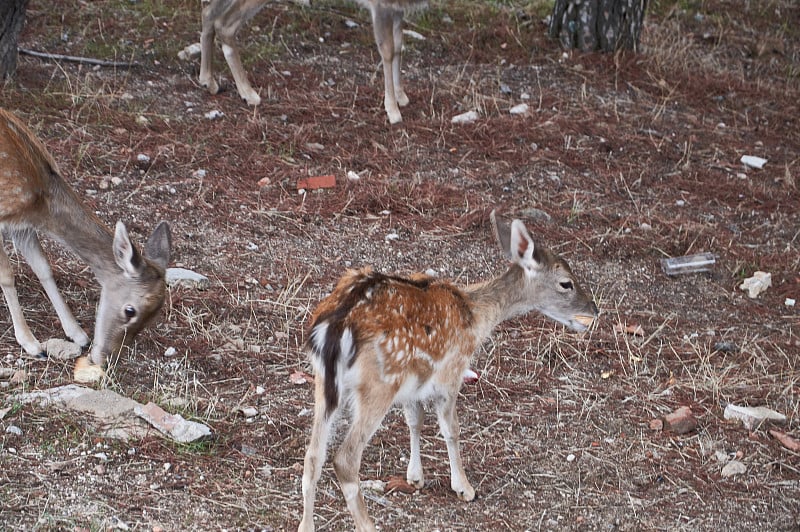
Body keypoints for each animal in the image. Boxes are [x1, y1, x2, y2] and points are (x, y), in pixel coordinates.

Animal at [0, 109, 172, 382]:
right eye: (130, 311)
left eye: (153, 318)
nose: (107, 359)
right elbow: (7, 275)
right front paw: (31, 344)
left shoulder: (23, 227)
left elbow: (43, 268)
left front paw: (78, 334)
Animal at [198, 0, 424, 123]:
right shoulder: (382, 5)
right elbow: (387, 50)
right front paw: (392, 110)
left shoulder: (398, 8)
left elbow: (399, 46)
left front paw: (401, 96)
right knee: (224, 24)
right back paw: (248, 92)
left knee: (208, 11)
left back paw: (208, 80)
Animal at [296, 210, 596, 528]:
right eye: (566, 283)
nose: (594, 308)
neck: (475, 315)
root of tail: (334, 328)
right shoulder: (452, 372)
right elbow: (451, 429)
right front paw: (464, 487)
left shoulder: (414, 383)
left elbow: (415, 420)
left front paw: (415, 477)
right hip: (378, 383)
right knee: (345, 458)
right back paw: (368, 525)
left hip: (325, 382)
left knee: (313, 456)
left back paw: (306, 526)